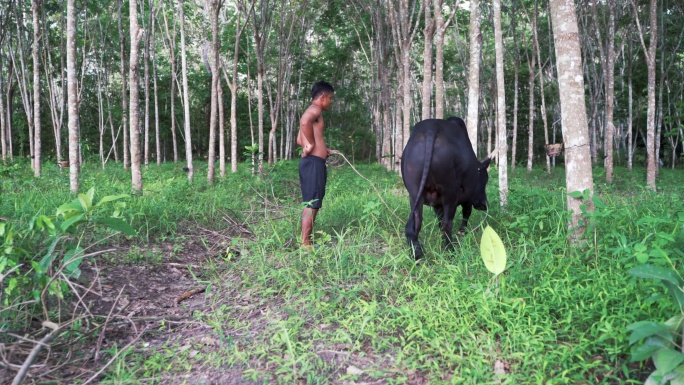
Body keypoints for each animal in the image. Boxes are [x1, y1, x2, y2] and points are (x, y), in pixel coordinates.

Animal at [400, 117, 492, 260]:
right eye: (485, 179)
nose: (484, 204)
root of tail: (431, 127)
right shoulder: (468, 197)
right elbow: (466, 213)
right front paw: (462, 232)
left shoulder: (437, 204)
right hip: (450, 194)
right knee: (447, 223)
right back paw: (451, 250)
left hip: (414, 195)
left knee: (414, 225)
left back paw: (418, 255)